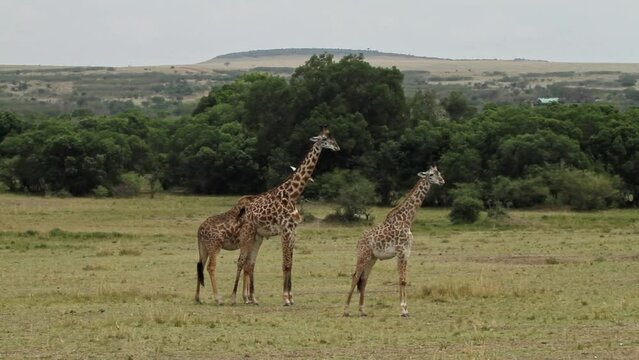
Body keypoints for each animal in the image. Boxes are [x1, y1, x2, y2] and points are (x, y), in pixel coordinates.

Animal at [231, 128, 340, 306]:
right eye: (324, 139)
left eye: (332, 138)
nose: (337, 147)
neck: (293, 195)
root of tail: (242, 208)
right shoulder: (285, 230)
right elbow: (285, 263)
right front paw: (286, 298)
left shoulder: (293, 230)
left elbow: (291, 263)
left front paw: (291, 297)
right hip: (247, 233)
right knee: (241, 261)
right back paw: (234, 297)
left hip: (257, 236)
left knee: (250, 263)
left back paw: (251, 298)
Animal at [344, 165, 444, 316]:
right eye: (431, 174)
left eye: (439, 173)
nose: (442, 181)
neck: (407, 221)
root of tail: (358, 241)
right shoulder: (400, 252)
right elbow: (401, 280)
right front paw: (403, 309)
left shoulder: (407, 253)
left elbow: (404, 280)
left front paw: (406, 309)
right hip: (363, 255)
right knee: (355, 277)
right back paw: (346, 310)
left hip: (372, 258)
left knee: (364, 279)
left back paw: (362, 310)